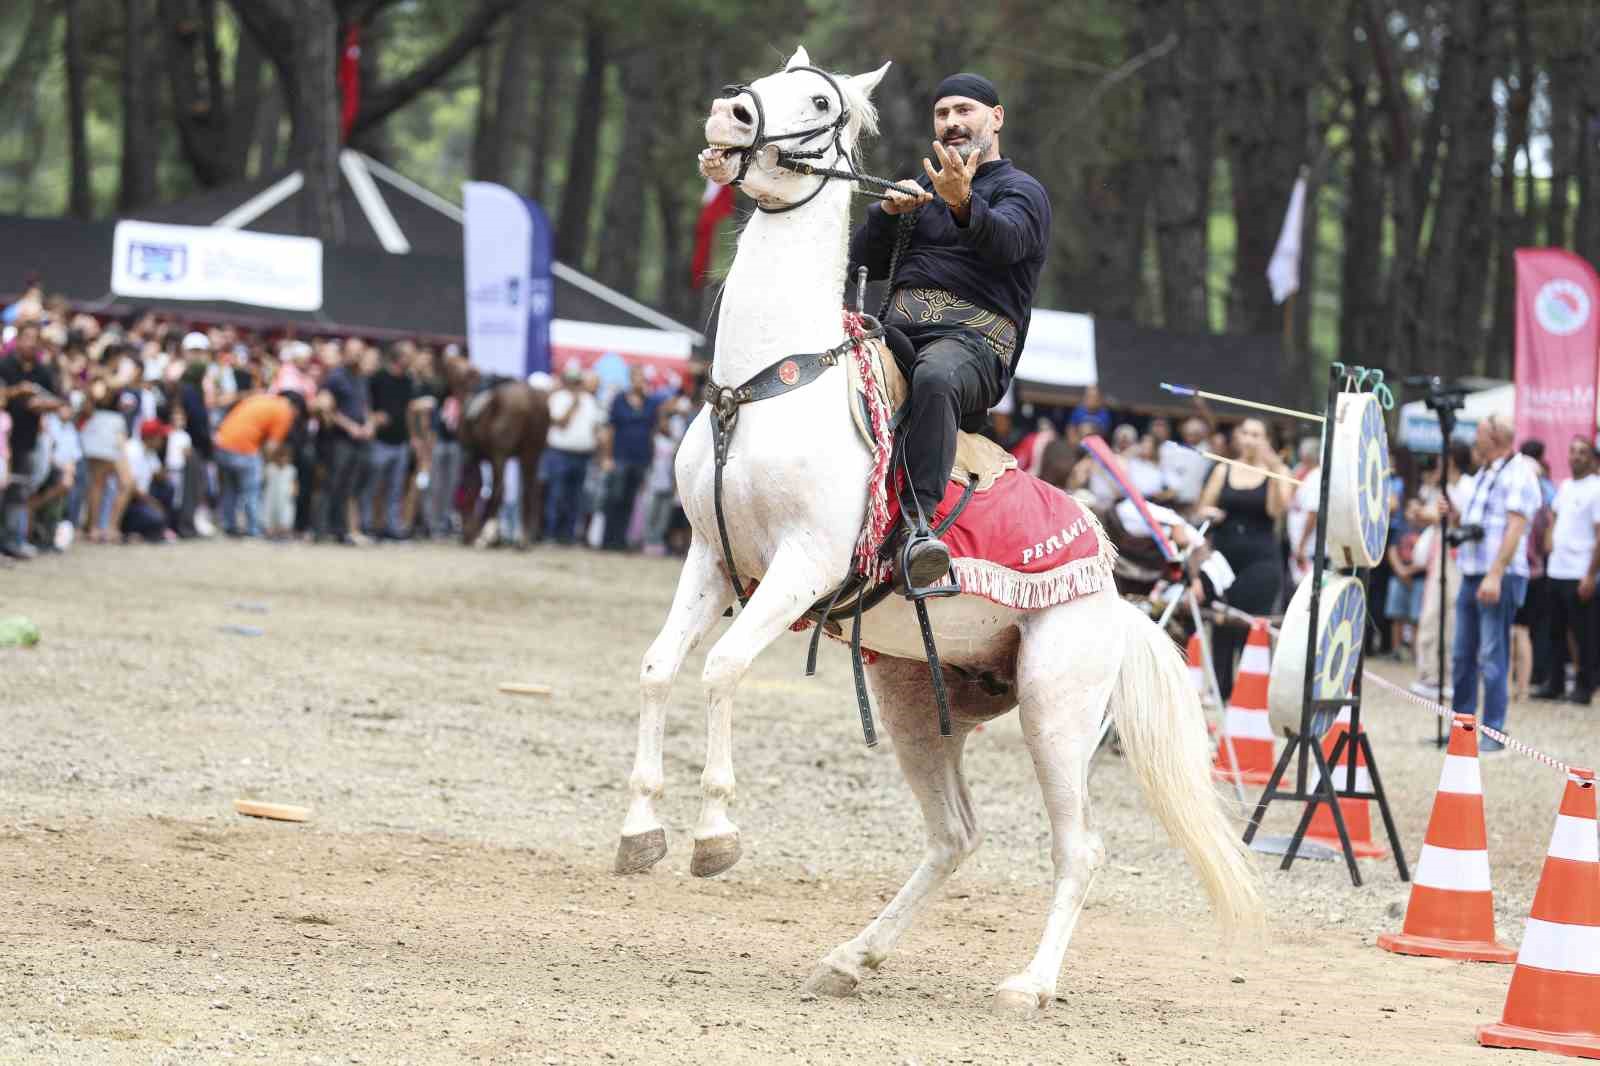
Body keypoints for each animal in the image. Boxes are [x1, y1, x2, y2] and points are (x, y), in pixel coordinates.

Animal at [448, 363, 553, 547]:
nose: (465, 534)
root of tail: (530, 400)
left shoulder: (473, 454)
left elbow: (476, 486)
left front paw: (485, 534)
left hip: (501, 454)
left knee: (500, 488)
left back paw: (486, 535)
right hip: (530, 453)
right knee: (529, 490)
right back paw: (523, 539)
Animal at [614, 47, 1260, 1011]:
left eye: (818, 99)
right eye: (768, 80)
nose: (730, 116)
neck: (768, 384)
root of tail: (1115, 597)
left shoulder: (802, 566)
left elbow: (722, 668)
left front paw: (715, 835)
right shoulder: (711, 556)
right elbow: (659, 669)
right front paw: (641, 829)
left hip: (1057, 711)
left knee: (1080, 849)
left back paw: (1029, 984)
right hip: (919, 706)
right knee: (955, 836)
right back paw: (851, 957)